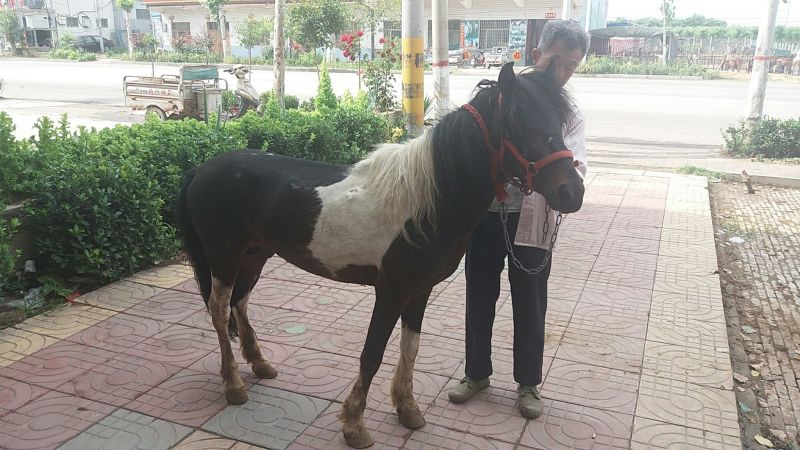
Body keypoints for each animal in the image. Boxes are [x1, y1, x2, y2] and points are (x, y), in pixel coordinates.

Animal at [177, 62, 584, 448]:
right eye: (520, 122)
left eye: (559, 122)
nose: (572, 192)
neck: (424, 203)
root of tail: (201, 169)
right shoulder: (390, 291)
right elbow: (372, 353)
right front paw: (355, 425)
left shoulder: (420, 291)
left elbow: (410, 348)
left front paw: (407, 408)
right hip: (225, 257)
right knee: (219, 310)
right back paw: (233, 385)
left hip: (255, 255)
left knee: (239, 304)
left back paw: (260, 364)